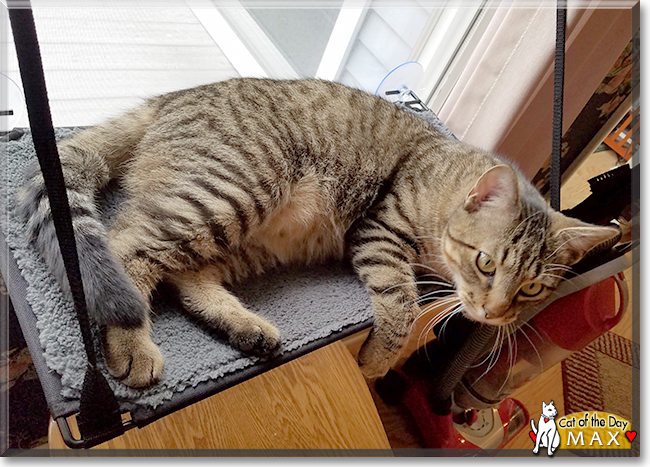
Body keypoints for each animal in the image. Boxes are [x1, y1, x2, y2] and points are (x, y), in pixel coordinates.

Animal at [17, 78, 616, 390]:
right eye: (487, 263)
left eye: (533, 289)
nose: (493, 315)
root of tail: (171, 97)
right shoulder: (379, 230)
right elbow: (401, 307)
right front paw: (378, 361)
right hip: (231, 192)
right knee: (127, 250)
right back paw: (133, 343)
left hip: (243, 235)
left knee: (185, 277)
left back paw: (247, 329)